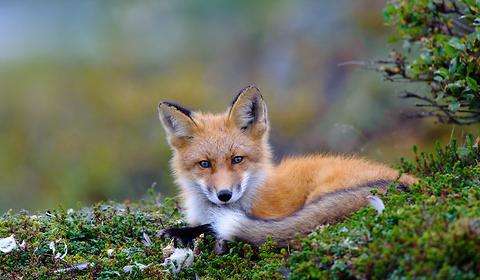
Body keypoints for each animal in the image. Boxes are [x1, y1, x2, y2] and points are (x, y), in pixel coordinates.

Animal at [157, 83, 416, 247]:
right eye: (204, 164)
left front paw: (181, 232)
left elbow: (210, 226)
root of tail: (415, 185)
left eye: (237, 159)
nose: (224, 195)